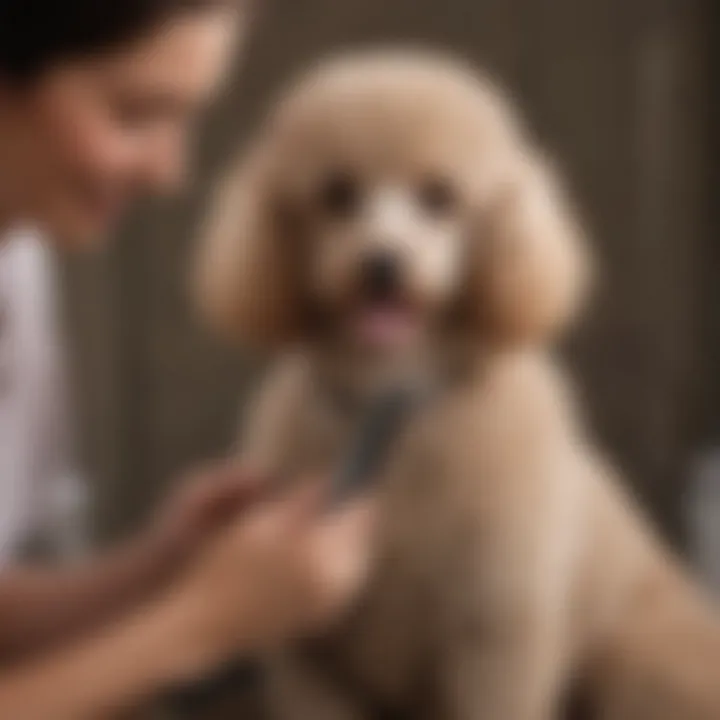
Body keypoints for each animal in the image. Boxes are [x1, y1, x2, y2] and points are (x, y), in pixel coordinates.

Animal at [194, 49, 720, 720]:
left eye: (439, 196)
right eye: (337, 193)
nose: (382, 264)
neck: (393, 410)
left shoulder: (495, 632)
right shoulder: (314, 648)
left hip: (638, 665)